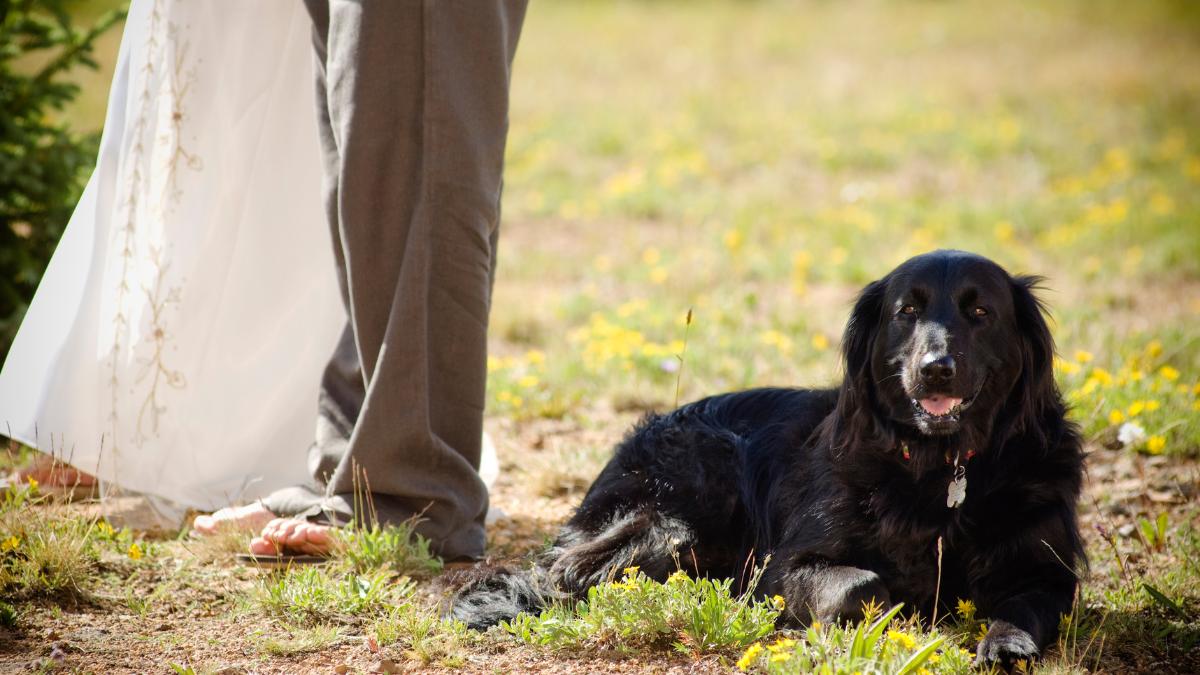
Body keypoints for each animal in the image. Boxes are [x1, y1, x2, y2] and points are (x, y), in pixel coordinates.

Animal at [451, 249, 1089, 662]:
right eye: (906, 312)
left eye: (981, 313)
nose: (936, 368)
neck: (942, 469)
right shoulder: (786, 565)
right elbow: (860, 585)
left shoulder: (1044, 570)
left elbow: (1028, 605)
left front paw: (1006, 643)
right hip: (680, 513)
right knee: (566, 572)